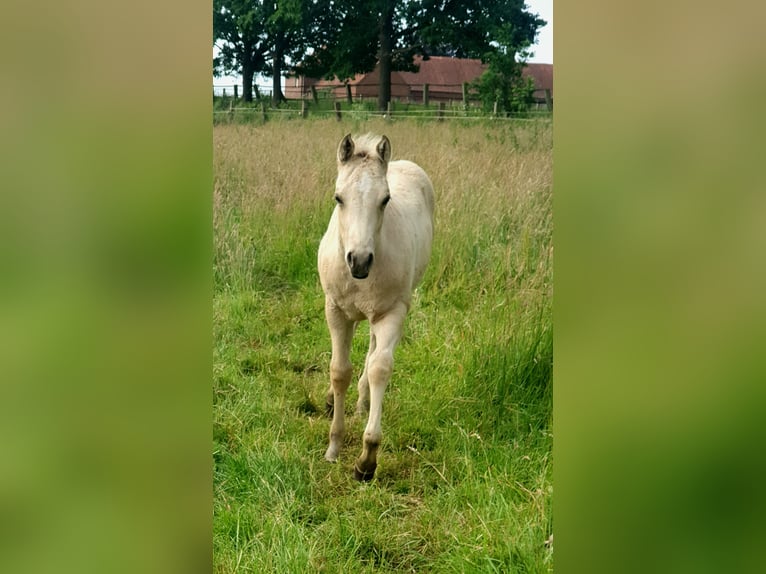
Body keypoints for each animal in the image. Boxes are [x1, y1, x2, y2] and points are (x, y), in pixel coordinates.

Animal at [317, 133, 435, 481]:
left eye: (385, 200)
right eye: (338, 198)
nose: (359, 261)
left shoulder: (392, 312)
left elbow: (380, 368)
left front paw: (367, 459)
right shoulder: (335, 310)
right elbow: (339, 370)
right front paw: (334, 446)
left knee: (371, 352)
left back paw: (362, 401)